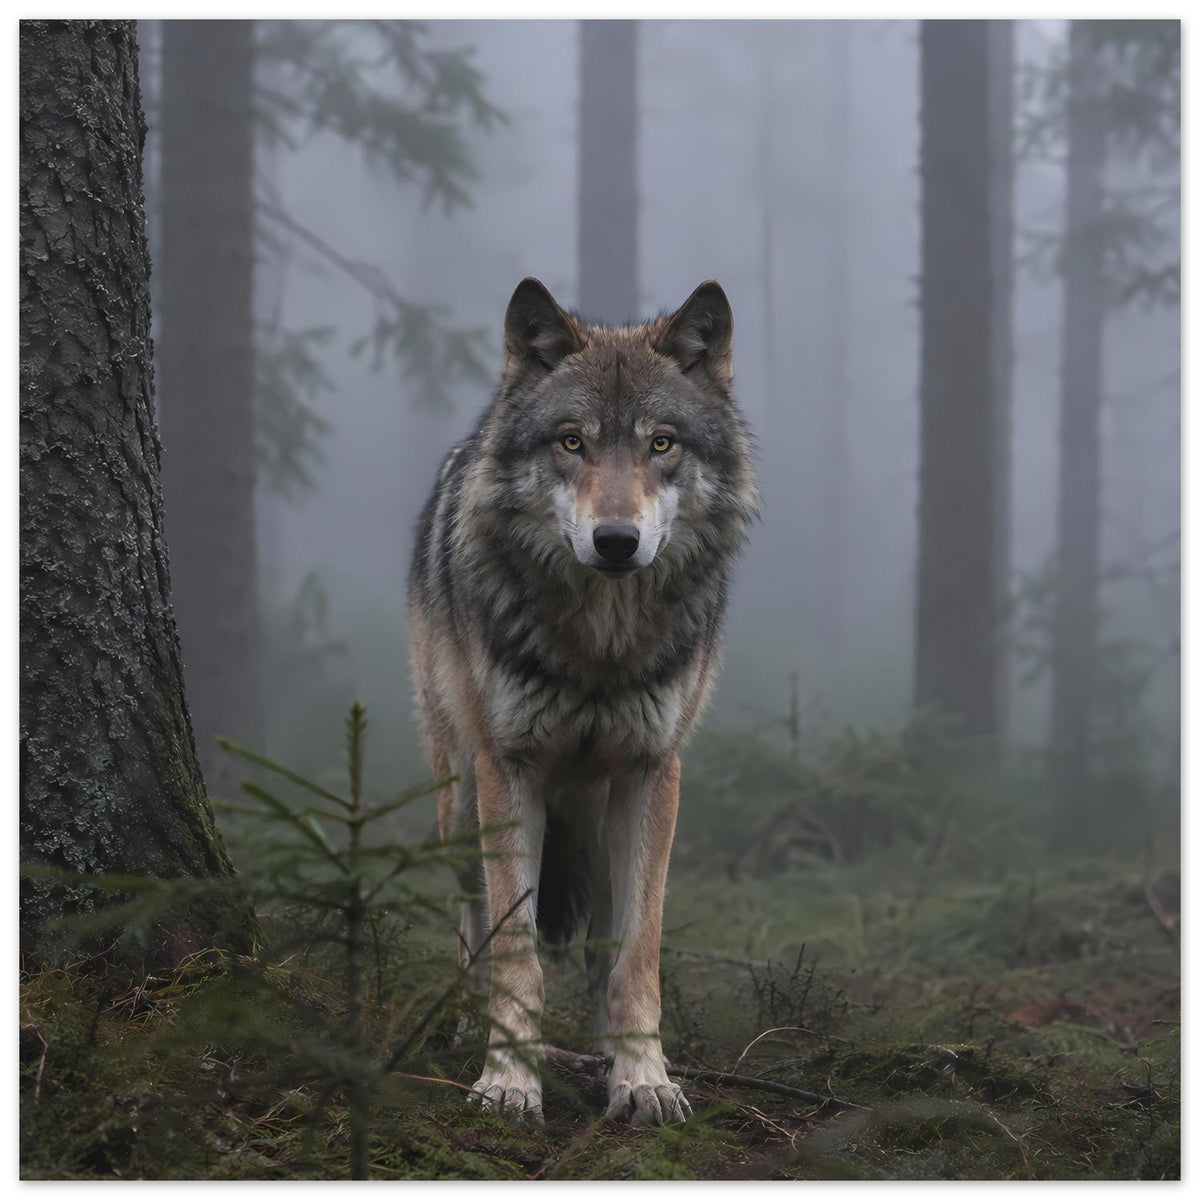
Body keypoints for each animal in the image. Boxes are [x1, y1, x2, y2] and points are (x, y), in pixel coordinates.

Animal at [408, 277, 757, 1126]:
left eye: (662, 444)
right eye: (572, 443)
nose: (616, 541)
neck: (601, 646)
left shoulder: (652, 773)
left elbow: (637, 955)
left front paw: (644, 1077)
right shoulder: (510, 770)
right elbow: (516, 953)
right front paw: (507, 1080)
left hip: (598, 819)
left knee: (603, 942)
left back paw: (605, 1053)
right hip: (460, 800)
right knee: (471, 923)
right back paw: (461, 1026)